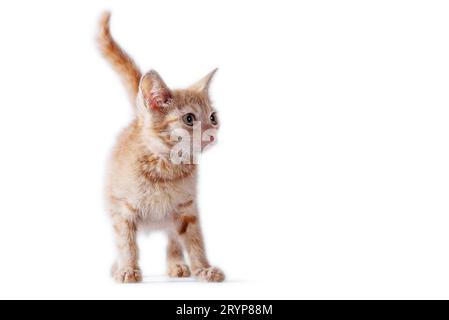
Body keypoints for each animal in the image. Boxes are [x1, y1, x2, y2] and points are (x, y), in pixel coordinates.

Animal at [97, 11, 224, 282]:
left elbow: (195, 241)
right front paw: (127, 268)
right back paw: (117, 266)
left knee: (172, 238)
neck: (166, 168)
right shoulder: (122, 209)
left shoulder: (187, 208)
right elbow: (125, 242)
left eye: (213, 118)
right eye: (189, 119)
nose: (211, 136)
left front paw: (203, 268)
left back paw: (177, 264)